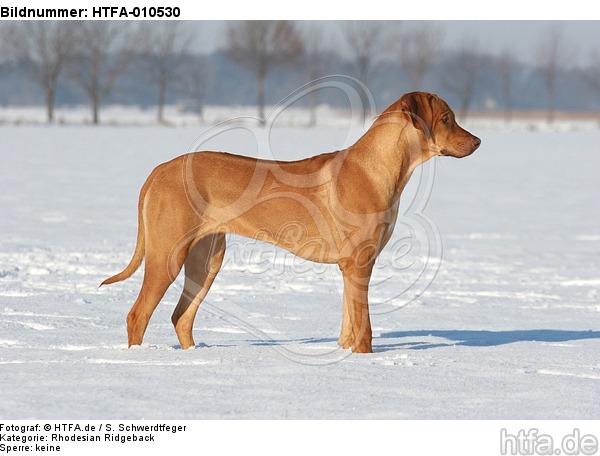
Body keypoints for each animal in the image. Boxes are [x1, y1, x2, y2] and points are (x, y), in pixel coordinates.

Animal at [102, 91, 478, 352]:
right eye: (446, 119)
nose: (477, 141)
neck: (381, 167)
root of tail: (159, 169)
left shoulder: (350, 266)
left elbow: (349, 326)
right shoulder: (359, 263)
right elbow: (365, 330)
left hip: (207, 259)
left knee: (181, 317)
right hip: (167, 255)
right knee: (138, 315)